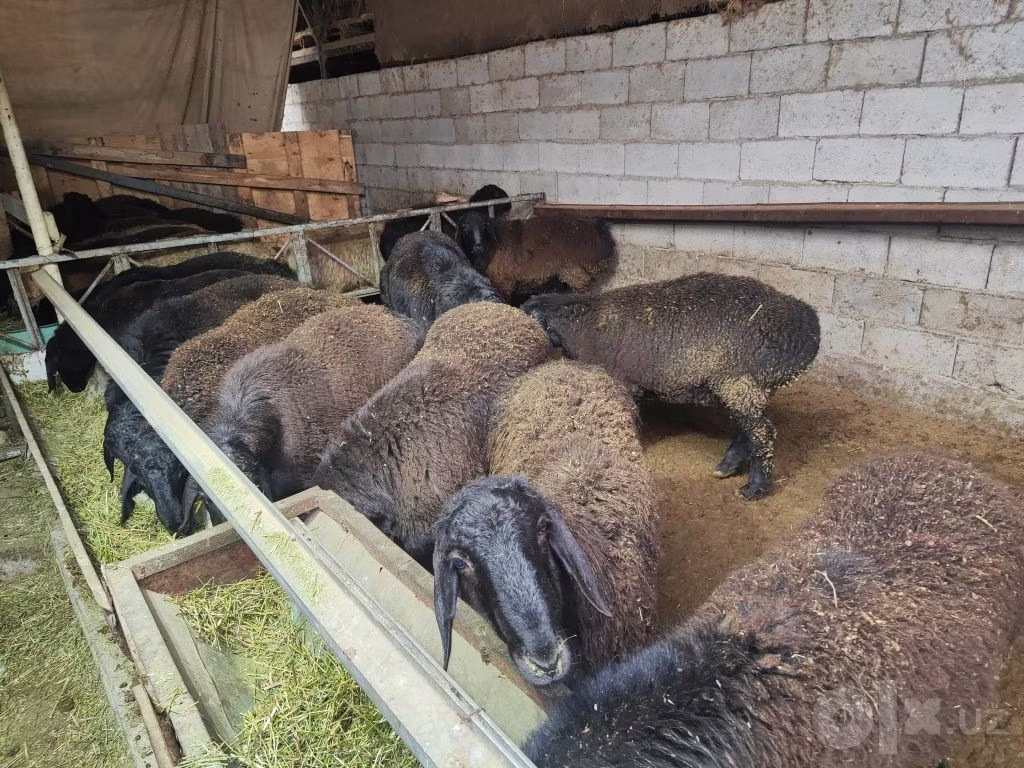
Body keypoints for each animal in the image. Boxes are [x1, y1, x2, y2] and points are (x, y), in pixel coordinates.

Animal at [457, 212, 615, 305]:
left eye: (484, 226)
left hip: (574, 270)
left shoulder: (504, 282)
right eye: (465, 227)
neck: (492, 246)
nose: (478, 247)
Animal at [522, 273, 821, 500]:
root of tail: (810, 331)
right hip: (746, 389)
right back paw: (725, 467)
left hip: (740, 382)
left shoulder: (621, 383)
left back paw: (754, 488)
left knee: (762, 433)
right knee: (747, 431)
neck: (579, 323)